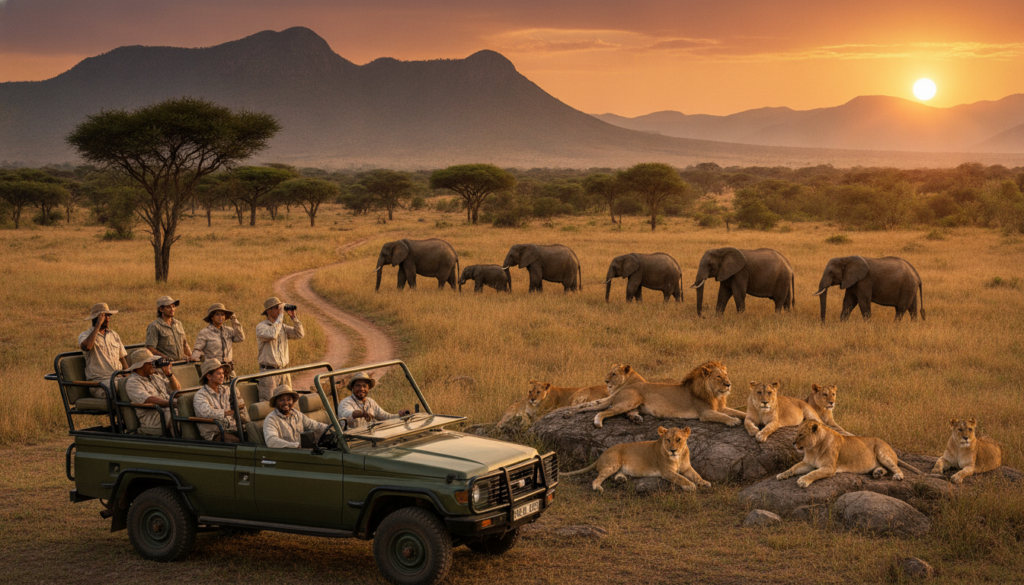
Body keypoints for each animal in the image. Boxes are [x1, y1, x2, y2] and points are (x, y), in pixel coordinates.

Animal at [561, 426, 711, 493]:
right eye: (668, 440)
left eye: (678, 440)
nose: (672, 450)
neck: (678, 457)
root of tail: (600, 456)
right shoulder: (666, 472)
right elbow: (680, 478)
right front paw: (690, 485)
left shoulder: (687, 467)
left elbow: (696, 475)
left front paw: (704, 482)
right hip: (613, 463)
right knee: (597, 478)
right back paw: (598, 487)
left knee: (616, 475)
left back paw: (621, 479)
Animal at [575, 361, 744, 428]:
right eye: (718, 377)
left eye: (726, 375)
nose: (729, 384)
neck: (716, 394)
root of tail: (623, 388)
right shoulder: (705, 413)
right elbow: (721, 416)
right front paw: (733, 421)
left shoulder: (720, 407)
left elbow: (738, 412)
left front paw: (741, 416)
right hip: (629, 400)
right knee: (604, 411)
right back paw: (598, 422)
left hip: (634, 403)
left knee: (627, 412)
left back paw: (636, 418)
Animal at [776, 420, 922, 488]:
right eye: (796, 433)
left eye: (801, 434)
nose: (793, 443)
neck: (813, 448)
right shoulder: (808, 463)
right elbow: (793, 468)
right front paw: (782, 475)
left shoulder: (829, 468)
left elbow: (814, 473)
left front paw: (803, 480)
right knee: (886, 469)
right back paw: (877, 473)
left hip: (882, 452)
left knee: (895, 468)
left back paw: (897, 476)